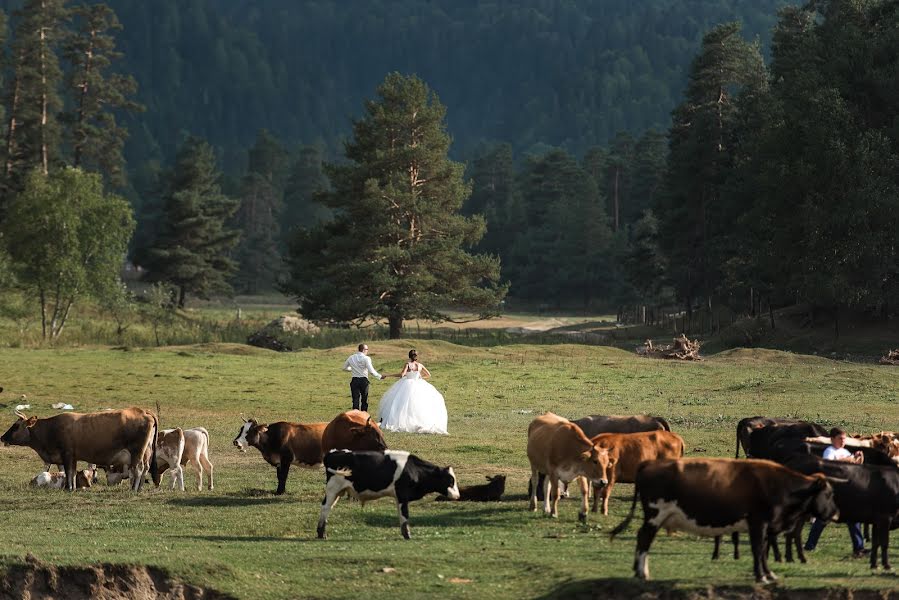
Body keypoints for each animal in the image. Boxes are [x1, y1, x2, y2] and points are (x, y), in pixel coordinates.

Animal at [0, 408, 157, 492]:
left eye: (15, 426)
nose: (2, 437)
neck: (51, 428)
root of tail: (143, 411)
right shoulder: (73, 457)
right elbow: (73, 472)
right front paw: (73, 487)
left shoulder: (67, 454)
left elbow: (69, 472)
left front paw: (69, 488)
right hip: (146, 452)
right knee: (145, 468)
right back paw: (140, 488)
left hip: (137, 452)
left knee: (138, 469)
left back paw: (134, 489)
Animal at [316, 448, 460, 540]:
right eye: (450, 480)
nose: (458, 496)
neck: (413, 469)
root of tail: (333, 453)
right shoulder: (402, 495)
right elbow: (405, 514)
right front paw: (408, 535)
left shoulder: (399, 497)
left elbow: (401, 515)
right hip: (333, 488)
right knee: (325, 507)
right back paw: (321, 533)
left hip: (338, 492)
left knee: (328, 507)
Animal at [612, 460, 844, 580]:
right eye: (829, 494)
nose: (836, 513)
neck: (781, 485)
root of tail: (648, 464)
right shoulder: (758, 522)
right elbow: (758, 549)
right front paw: (762, 576)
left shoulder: (764, 526)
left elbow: (763, 550)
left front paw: (768, 574)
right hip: (655, 514)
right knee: (644, 538)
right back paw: (642, 572)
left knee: (643, 538)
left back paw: (639, 570)